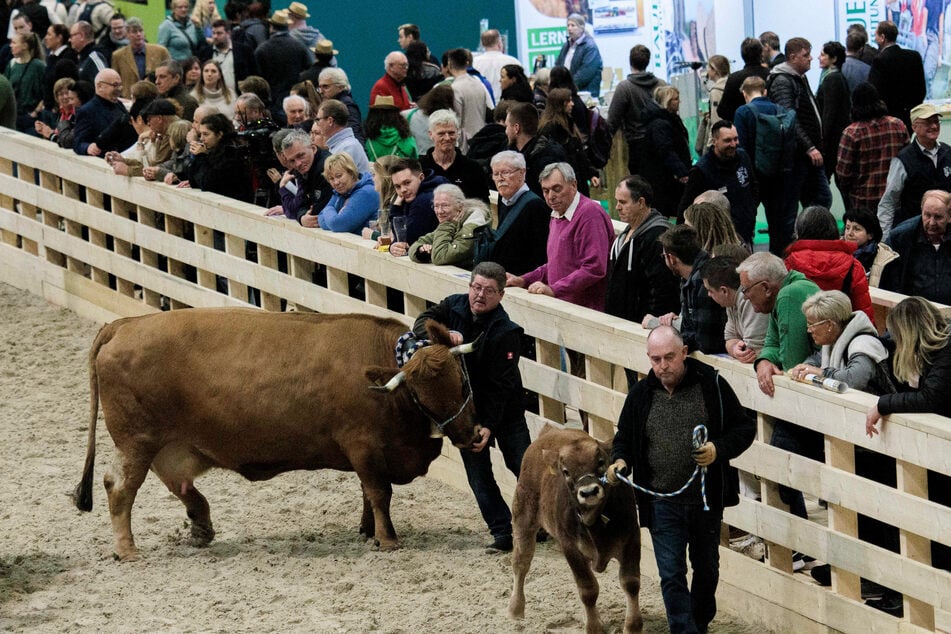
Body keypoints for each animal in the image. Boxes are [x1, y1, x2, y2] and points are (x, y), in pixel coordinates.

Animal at [72, 306, 484, 556]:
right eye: (420, 395)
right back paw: (127, 549)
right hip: (136, 442)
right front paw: (388, 538)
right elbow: (379, 493)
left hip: (165, 445)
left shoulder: (372, 455)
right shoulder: (362, 445)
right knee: (120, 487)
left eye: (462, 380)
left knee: (179, 484)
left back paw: (202, 527)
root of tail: (125, 324)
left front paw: (367, 530)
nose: (471, 435)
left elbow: (368, 493)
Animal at [510, 424, 644, 632]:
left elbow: (630, 583)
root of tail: (549, 432)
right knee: (521, 562)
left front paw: (632, 626)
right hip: (523, 518)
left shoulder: (631, 539)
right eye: (565, 471)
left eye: (601, 461)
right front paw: (593, 627)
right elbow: (588, 589)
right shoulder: (571, 548)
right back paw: (515, 609)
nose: (589, 492)